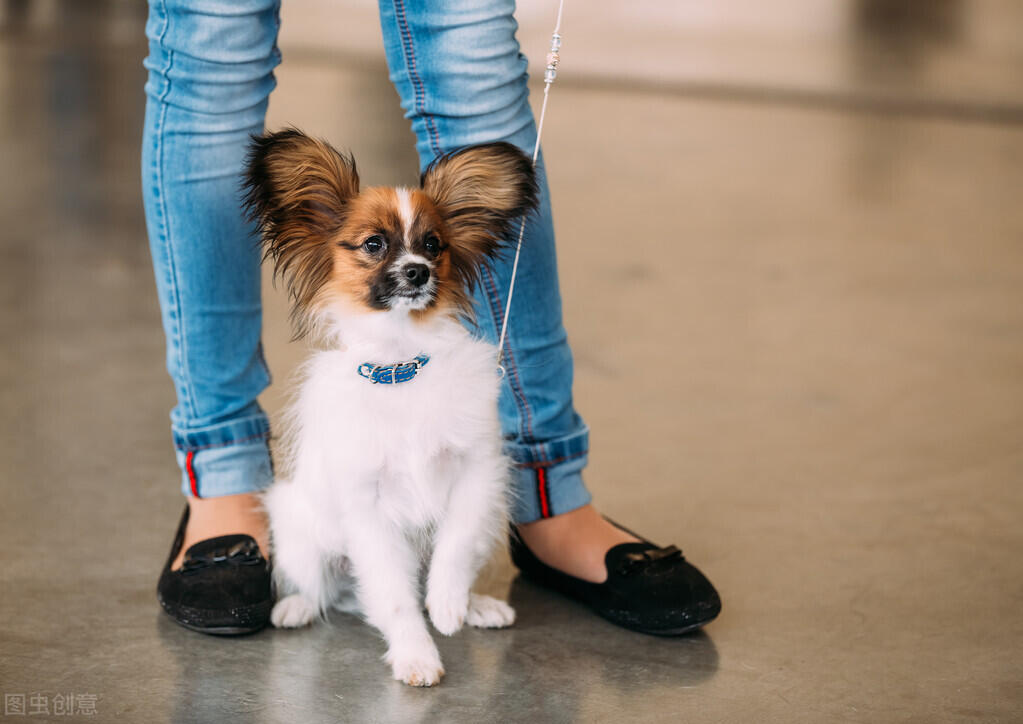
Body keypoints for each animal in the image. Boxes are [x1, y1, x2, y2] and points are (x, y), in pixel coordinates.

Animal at [243, 127, 540, 687]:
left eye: (433, 245)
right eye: (374, 245)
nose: (417, 272)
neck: (402, 366)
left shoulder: (476, 472)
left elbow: (455, 545)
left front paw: (447, 605)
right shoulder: (369, 509)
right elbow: (397, 598)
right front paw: (416, 657)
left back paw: (477, 605)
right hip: (301, 532)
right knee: (323, 587)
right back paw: (296, 607)